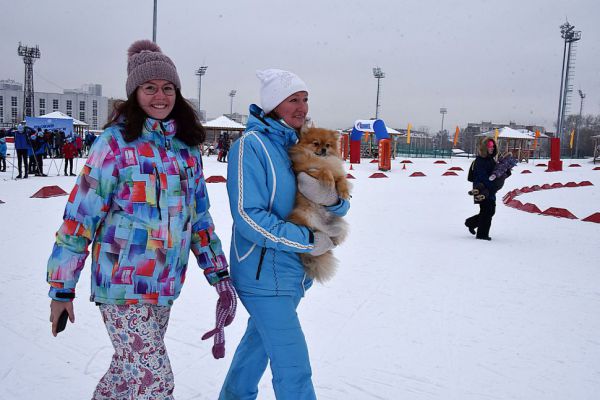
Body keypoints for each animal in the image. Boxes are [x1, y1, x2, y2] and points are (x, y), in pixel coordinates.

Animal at [288, 127, 350, 282]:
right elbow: (324, 171)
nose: (323, 149)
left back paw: (334, 238)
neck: (323, 160)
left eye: (328, 145)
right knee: (316, 230)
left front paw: (344, 192)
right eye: (316, 143)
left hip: (341, 224)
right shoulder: (306, 171)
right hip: (307, 216)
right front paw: (328, 180)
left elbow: (341, 180)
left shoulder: (338, 173)